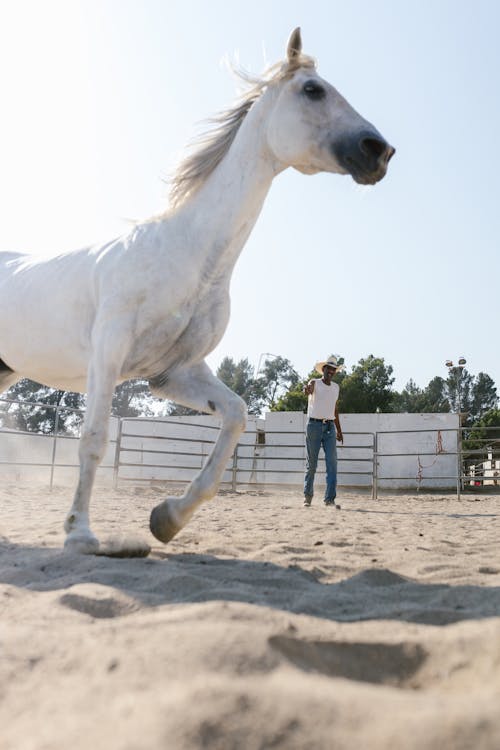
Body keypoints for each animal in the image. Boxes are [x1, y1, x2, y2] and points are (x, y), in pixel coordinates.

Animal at [0, 29, 394, 552]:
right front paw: (80, 534)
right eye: (313, 89)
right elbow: (95, 438)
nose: (379, 150)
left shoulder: (175, 372)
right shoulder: (108, 355)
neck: (188, 254)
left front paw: (167, 518)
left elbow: (236, 417)